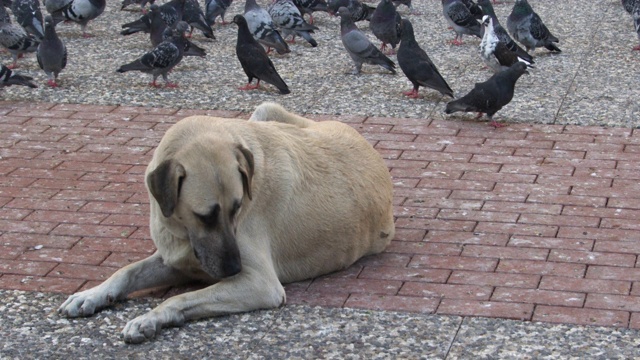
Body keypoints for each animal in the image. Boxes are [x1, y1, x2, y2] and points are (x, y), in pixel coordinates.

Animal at [57, 101, 396, 344]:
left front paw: (151, 318)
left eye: (237, 207)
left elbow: (181, 297)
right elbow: (126, 272)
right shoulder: (177, 258)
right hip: (265, 109)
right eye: (205, 216)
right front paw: (91, 295)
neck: (181, 231)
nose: (233, 269)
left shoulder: (260, 284)